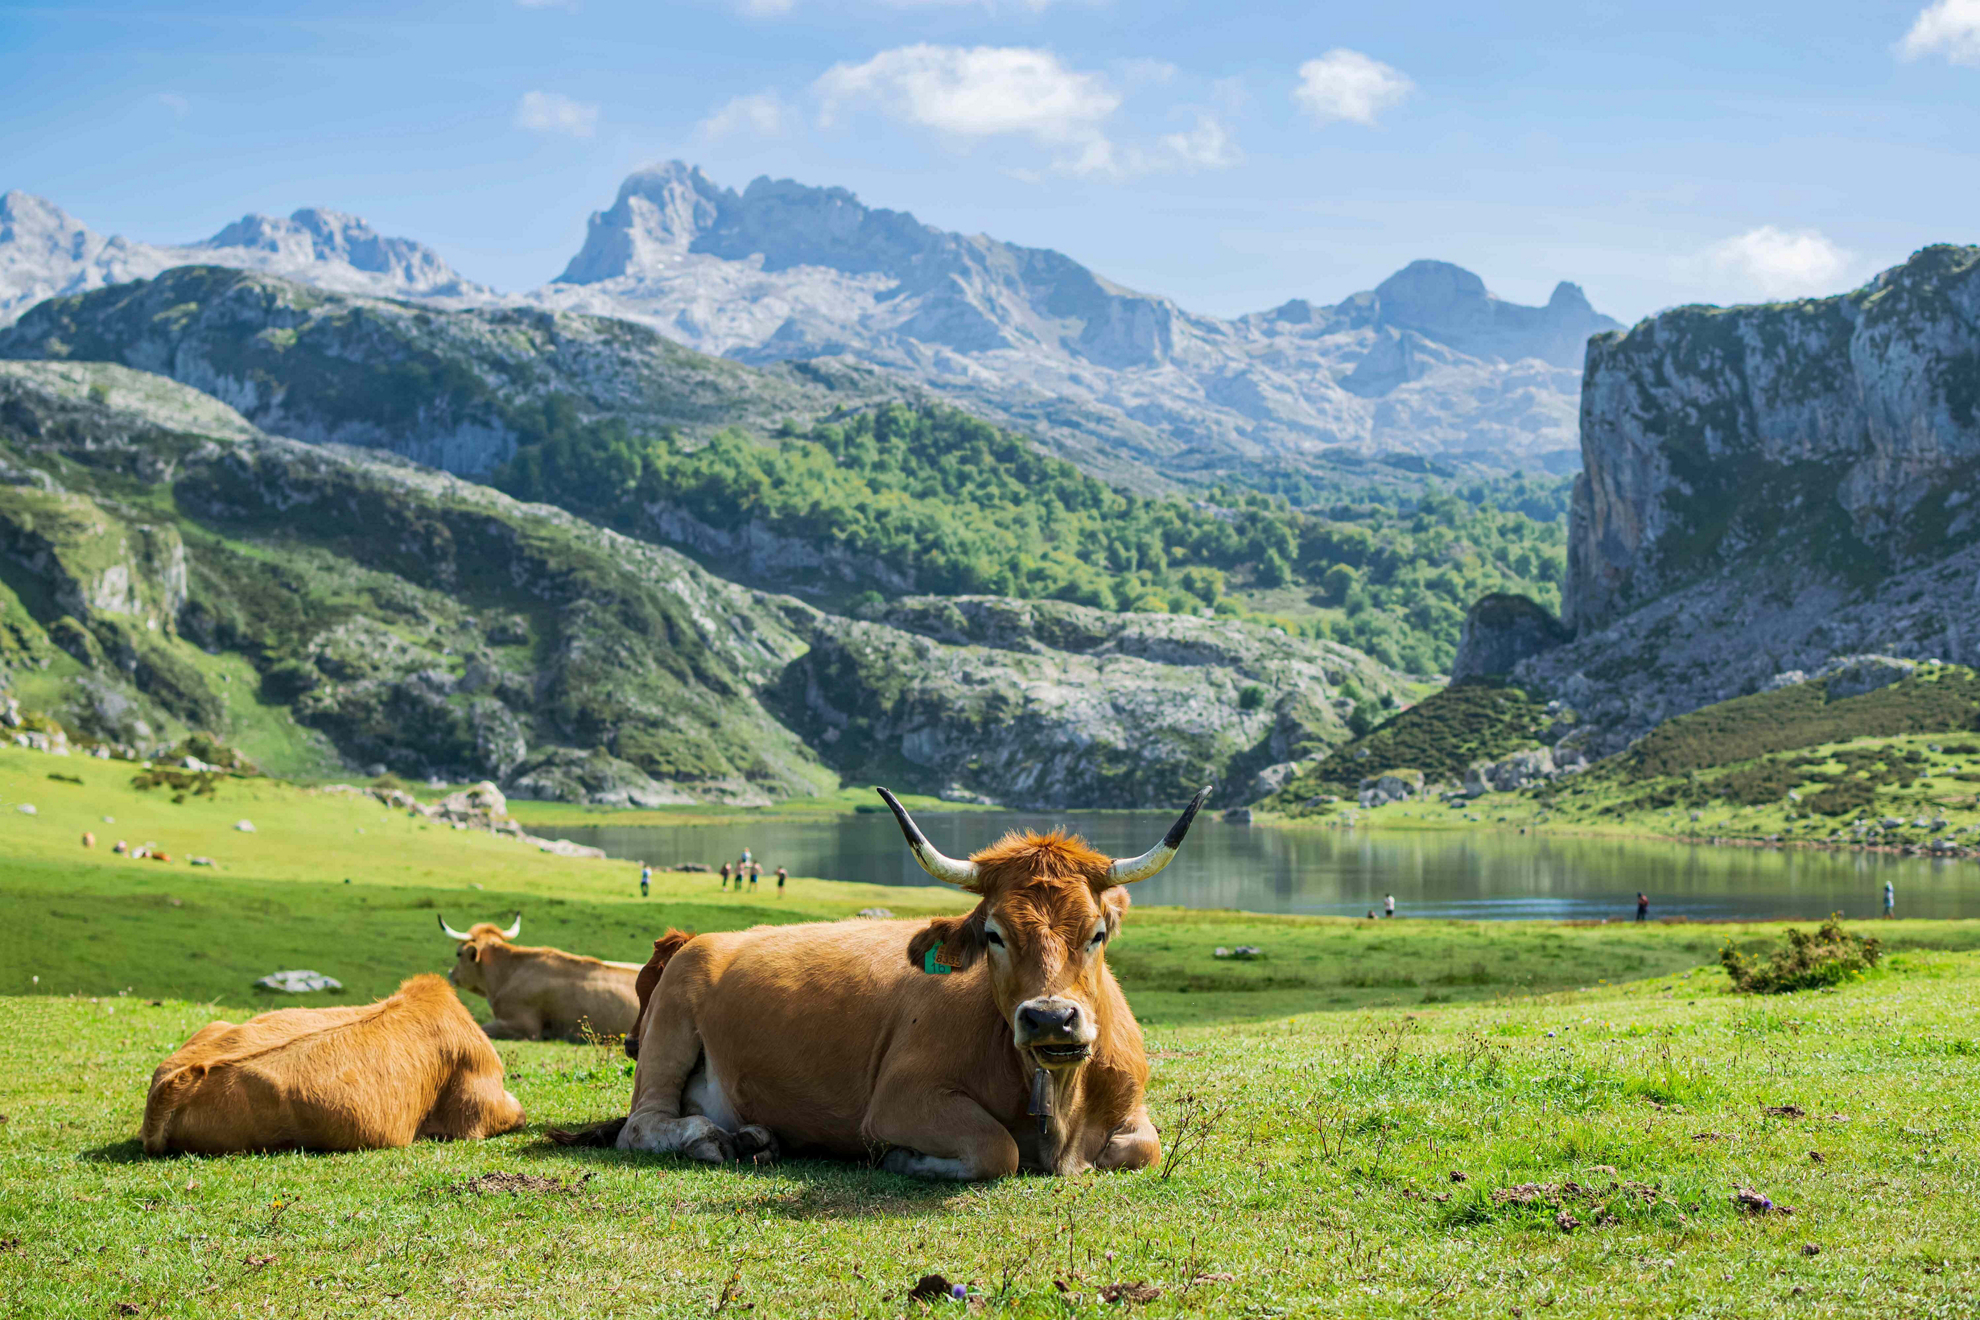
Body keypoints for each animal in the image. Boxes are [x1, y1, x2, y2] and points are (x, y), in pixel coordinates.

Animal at [558, 791, 1203, 1179]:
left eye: (1098, 933)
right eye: (993, 934)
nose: (1049, 1018)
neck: (1058, 1102)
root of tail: (699, 939)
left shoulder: (1133, 1109)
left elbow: (1144, 1147)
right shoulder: (901, 1099)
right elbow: (996, 1147)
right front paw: (907, 1160)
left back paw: (755, 1138)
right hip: (666, 1035)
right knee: (643, 1125)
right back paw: (715, 1140)